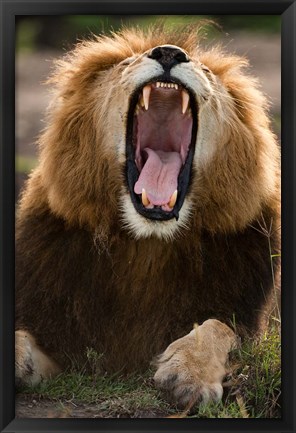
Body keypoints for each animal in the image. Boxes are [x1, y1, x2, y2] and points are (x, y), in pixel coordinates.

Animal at [15, 24, 280, 408]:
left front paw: (189, 372)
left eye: (206, 71)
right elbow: (21, 333)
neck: (148, 243)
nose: (169, 53)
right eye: (127, 63)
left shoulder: (247, 318)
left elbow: (219, 327)